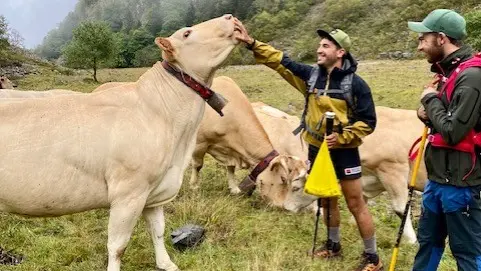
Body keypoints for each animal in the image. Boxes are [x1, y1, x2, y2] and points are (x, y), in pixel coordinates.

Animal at [0, 15, 240, 271]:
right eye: (187, 33)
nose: (230, 18)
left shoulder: (155, 189)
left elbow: (158, 230)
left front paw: (166, 263)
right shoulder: (129, 191)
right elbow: (118, 246)